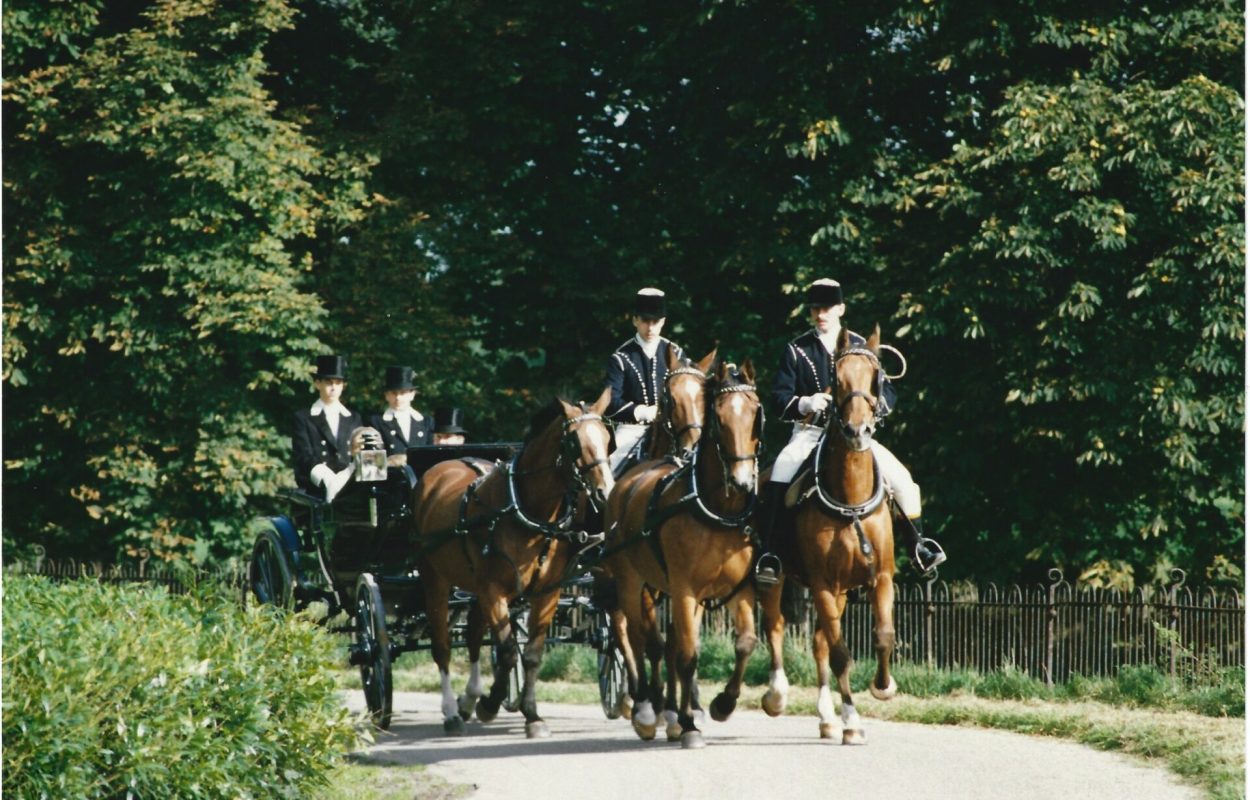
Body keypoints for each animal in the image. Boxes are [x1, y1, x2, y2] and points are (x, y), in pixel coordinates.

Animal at [410, 390, 615, 735]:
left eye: (607, 438)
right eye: (574, 442)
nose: (605, 493)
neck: (526, 511)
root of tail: (442, 466)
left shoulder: (546, 593)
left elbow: (531, 654)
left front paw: (531, 714)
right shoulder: (494, 591)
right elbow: (506, 652)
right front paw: (491, 704)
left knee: (473, 636)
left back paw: (468, 700)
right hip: (433, 579)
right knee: (442, 645)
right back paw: (451, 711)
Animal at [605, 360, 760, 745]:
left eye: (756, 414)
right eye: (719, 417)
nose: (742, 482)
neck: (718, 509)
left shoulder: (737, 589)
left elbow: (744, 642)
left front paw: (719, 704)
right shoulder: (684, 588)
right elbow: (684, 652)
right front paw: (687, 723)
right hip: (629, 582)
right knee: (634, 634)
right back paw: (645, 708)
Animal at [750, 325, 900, 745]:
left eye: (876, 376)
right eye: (837, 377)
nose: (857, 431)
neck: (850, 500)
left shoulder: (880, 578)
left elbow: (882, 635)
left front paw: (883, 687)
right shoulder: (821, 584)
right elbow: (840, 654)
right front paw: (852, 721)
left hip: (843, 591)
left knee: (817, 642)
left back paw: (825, 717)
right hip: (777, 580)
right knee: (776, 629)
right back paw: (778, 696)